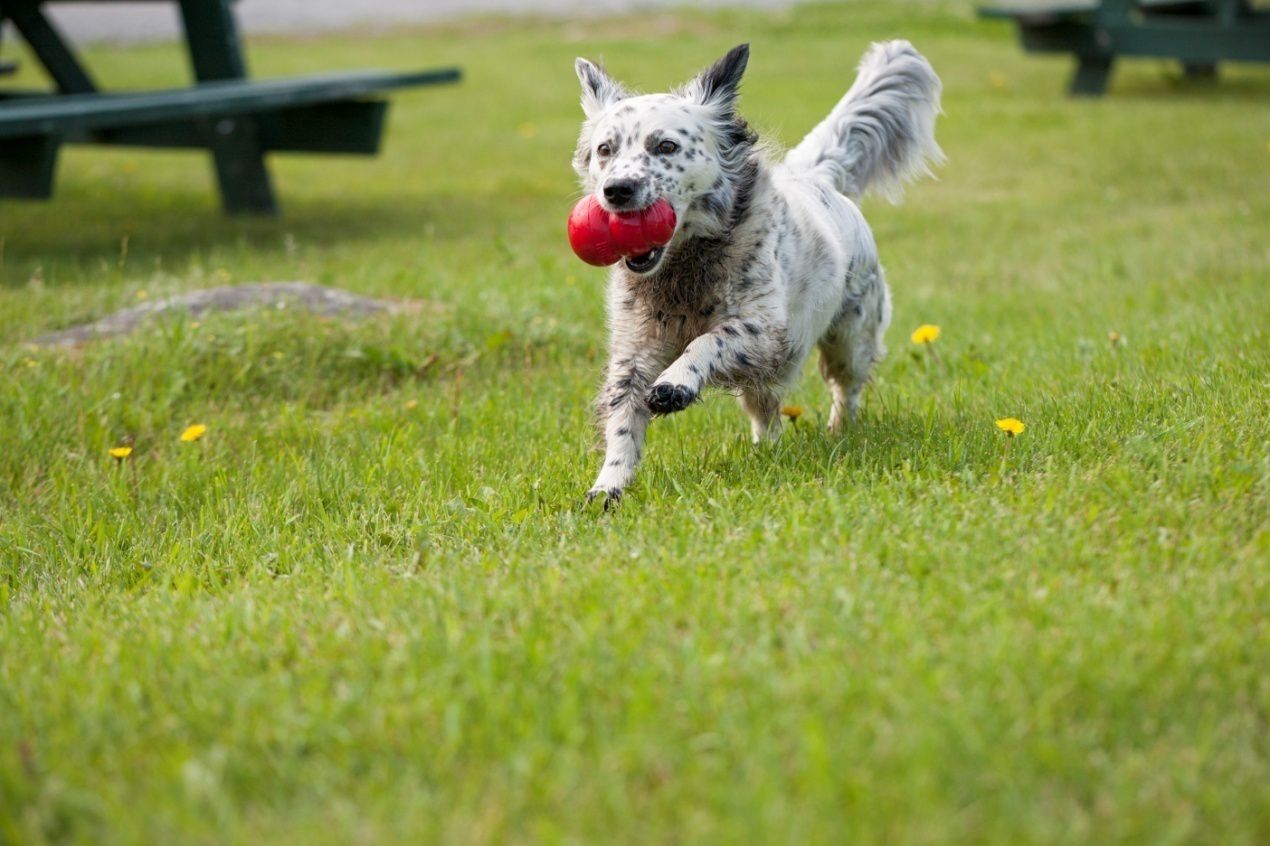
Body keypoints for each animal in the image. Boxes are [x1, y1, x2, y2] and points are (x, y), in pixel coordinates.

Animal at [576, 37, 944, 508]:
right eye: (605, 150)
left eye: (666, 146)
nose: (616, 191)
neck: (686, 269)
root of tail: (818, 178)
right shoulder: (635, 349)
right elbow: (624, 419)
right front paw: (608, 486)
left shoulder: (765, 332)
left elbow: (707, 341)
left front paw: (676, 383)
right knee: (766, 412)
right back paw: (767, 449)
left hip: (850, 339)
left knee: (846, 388)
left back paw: (839, 430)